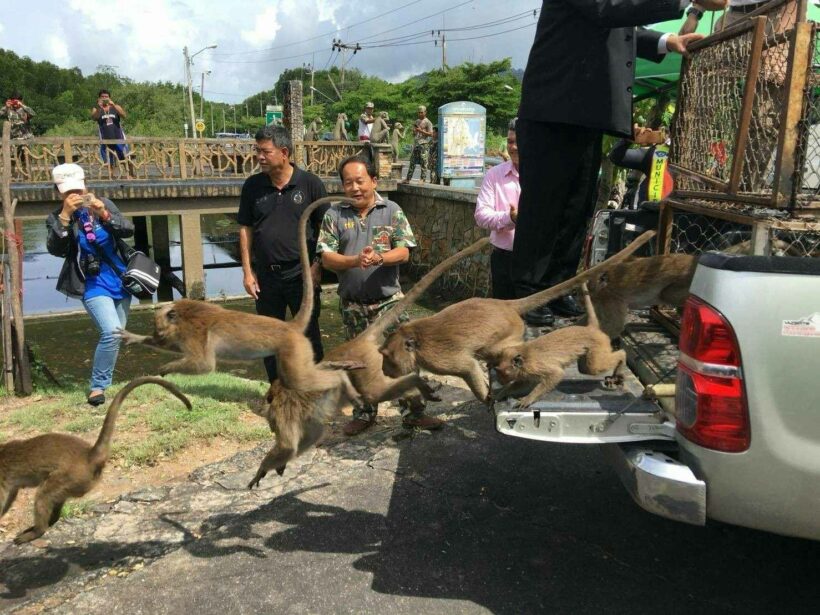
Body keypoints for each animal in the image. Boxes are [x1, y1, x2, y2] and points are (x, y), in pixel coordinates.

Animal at [0, 378, 189, 548]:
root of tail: (89, 455)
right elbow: (11, 495)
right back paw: (50, 521)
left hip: (70, 477)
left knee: (43, 495)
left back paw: (38, 530)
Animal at [117, 195, 364, 402]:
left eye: (159, 328)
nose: (157, 336)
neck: (183, 316)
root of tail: (289, 326)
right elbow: (178, 350)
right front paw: (134, 337)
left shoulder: (193, 332)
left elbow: (204, 365)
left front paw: (167, 368)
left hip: (293, 348)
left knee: (299, 378)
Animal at [243, 236, 490, 486]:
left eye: (271, 422)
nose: (270, 425)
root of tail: (357, 342)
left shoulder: (283, 412)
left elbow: (289, 444)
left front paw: (263, 469)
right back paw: (415, 394)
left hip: (369, 367)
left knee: (374, 392)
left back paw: (416, 387)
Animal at [494, 284, 628, 410]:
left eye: (503, 373)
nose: (500, 381)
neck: (524, 355)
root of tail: (591, 329)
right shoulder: (525, 371)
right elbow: (524, 383)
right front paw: (502, 393)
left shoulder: (533, 367)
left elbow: (556, 374)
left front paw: (528, 399)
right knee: (585, 369)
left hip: (599, 345)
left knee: (593, 367)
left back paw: (622, 356)